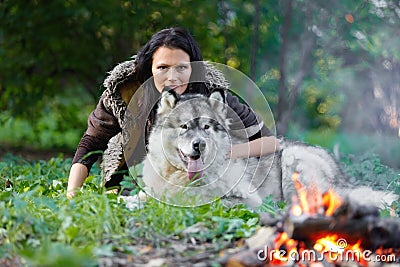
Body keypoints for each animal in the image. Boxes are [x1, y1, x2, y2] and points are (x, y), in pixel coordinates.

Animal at [138, 89, 396, 208]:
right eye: (184, 126)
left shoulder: (244, 198)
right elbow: (144, 196)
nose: (199, 145)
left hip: (293, 159)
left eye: (206, 127)